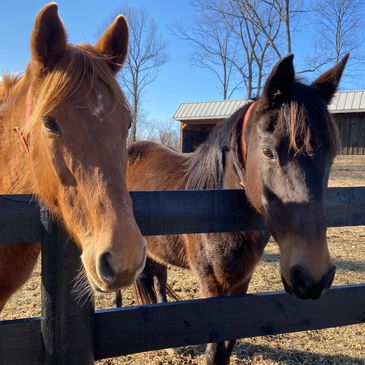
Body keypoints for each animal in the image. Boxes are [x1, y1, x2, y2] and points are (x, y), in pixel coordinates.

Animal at [126, 54, 348, 364]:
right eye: (268, 151)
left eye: (332, 155)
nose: (313, 276)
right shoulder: (213, 287)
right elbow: (215, 352)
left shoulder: (240, 283)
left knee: (158, 282)